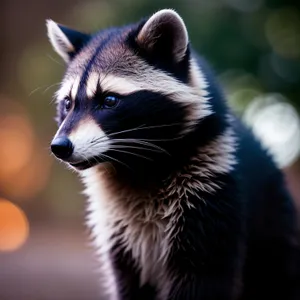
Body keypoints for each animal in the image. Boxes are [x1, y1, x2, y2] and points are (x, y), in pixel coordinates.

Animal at [46, 8, 298, 298]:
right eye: (68, 103)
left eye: (109, 100)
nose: (59, 147)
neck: (135, 164)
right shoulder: (115, 227)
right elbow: (128, 284)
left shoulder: (212, 195)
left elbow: (203, 279)